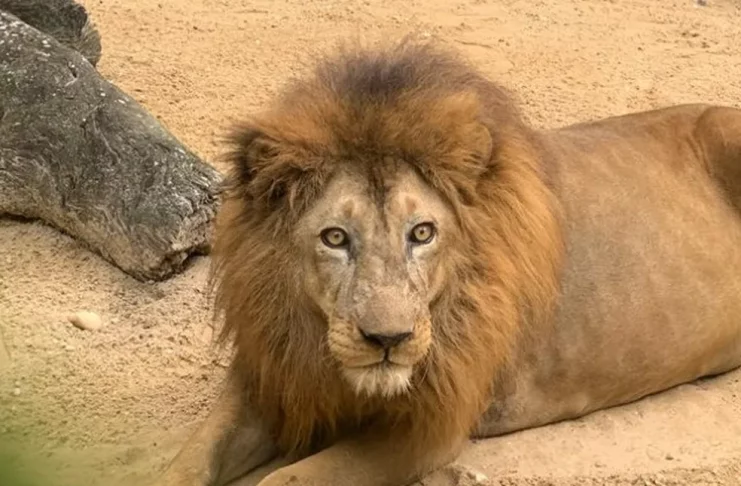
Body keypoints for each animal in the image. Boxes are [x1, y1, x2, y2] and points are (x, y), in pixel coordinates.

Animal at [153, 38, 741, 486]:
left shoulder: (428, 427)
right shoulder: (272, 376)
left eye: (422, 232)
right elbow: (186, 462)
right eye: (335, 237)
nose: (388, 340)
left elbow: (287, 478)